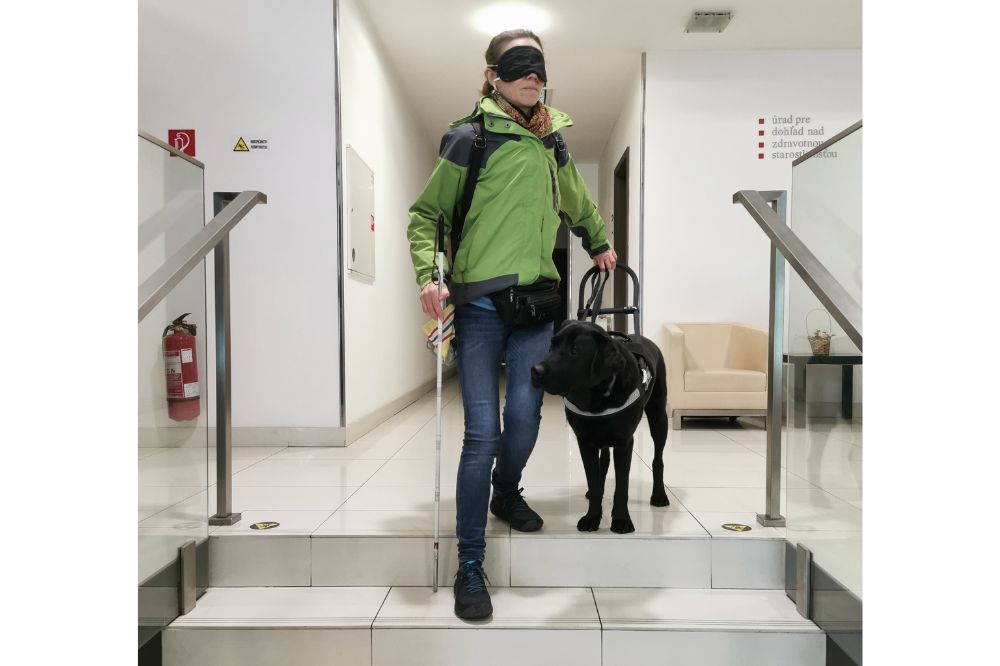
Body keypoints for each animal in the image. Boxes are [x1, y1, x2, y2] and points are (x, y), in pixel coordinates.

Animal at [530, 320, 669, 534]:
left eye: (574, 351)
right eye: (551, 346)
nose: (535, 370)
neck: (596, 398)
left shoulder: (623, 443)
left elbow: (622, 487)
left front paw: (621, 520)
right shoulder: (585, 442)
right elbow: (594, 482)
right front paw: (592, 517)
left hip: (659, 416)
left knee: (658, 459)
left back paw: (659, 495)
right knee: (603, 463)